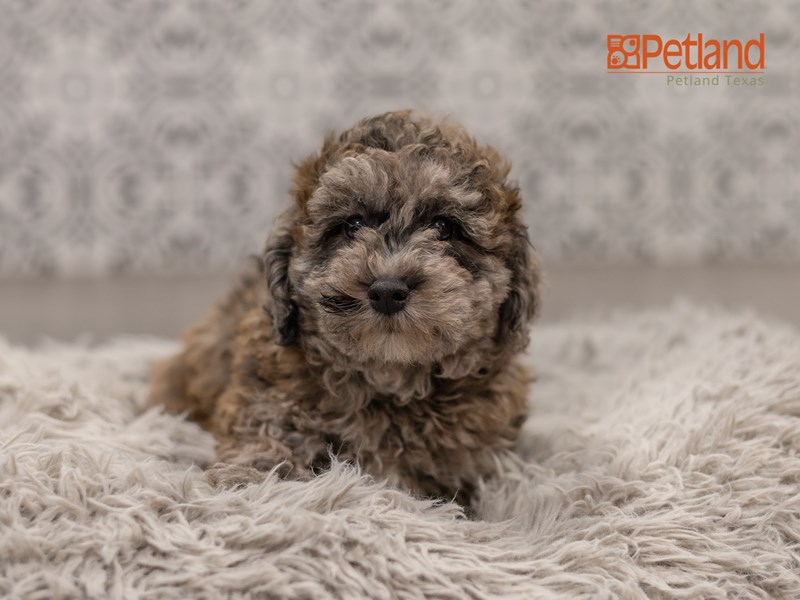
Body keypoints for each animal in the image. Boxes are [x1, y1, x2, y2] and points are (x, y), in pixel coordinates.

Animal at [147, 110, 540, 504]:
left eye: (444, 227)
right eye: (352, 225)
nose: (387, 290)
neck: (389, 377)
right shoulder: (265, 389)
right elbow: (267, 431)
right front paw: (249, 481)